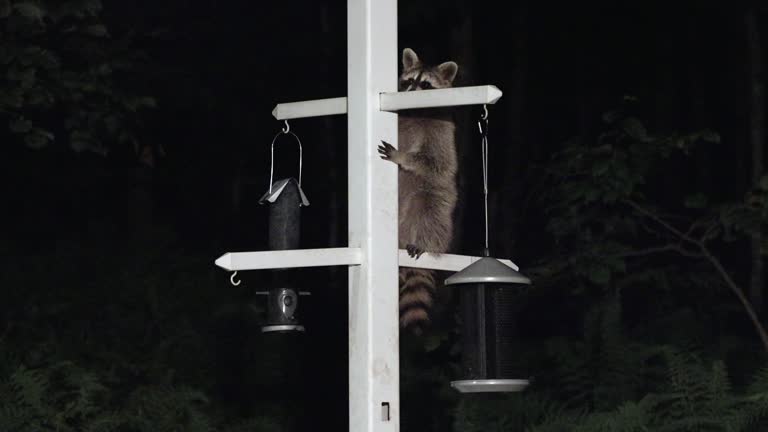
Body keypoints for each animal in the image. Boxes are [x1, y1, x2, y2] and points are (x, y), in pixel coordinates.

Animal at [376, 47, 456, 332]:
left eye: (426, 85)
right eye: (408, 81)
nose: (408, 92)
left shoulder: (441, 132)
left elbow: (434, 162)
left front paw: (404, 158)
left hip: (434, 196)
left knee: (432, 212)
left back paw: (424, 239)